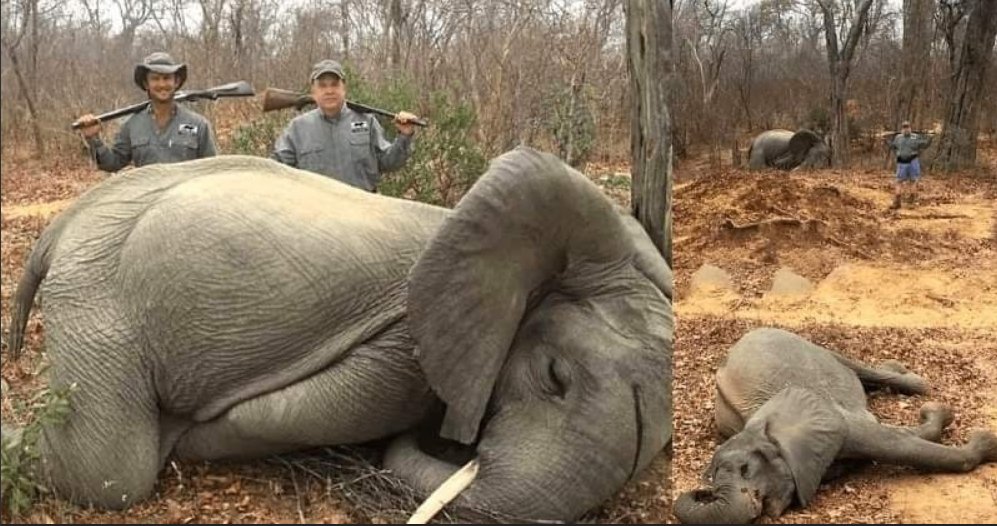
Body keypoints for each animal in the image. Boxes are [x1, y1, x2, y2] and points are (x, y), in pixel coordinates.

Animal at [1, 147, 673, 522]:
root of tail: (62, 227)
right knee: (108, 472)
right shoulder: (406, 349)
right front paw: (189, 434)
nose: (454, 445)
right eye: (555, 377)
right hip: (96, 294)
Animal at [674, 327, 997, 524]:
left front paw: (981, 438)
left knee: (857, 367)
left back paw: (910, 379)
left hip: (812, 346)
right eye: (711, 479)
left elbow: (897, 442)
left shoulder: (839, 423)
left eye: (746, 469)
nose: (702, 492)